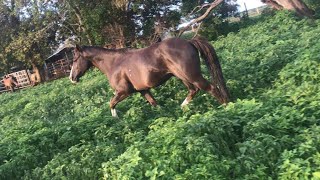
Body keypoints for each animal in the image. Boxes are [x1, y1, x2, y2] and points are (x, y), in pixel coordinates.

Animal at [70, 37, 230, 117]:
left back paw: (227, 108)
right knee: (193, 90)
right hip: (182, 76)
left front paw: (117, 121)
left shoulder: (123, 92)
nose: (72, 78)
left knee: (211, 88)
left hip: (192, 75)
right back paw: (181, 108)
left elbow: (111, 103)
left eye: (75, 59)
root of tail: (189, 41)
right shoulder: (143, 90)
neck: (114, 63)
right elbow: (154, 104)